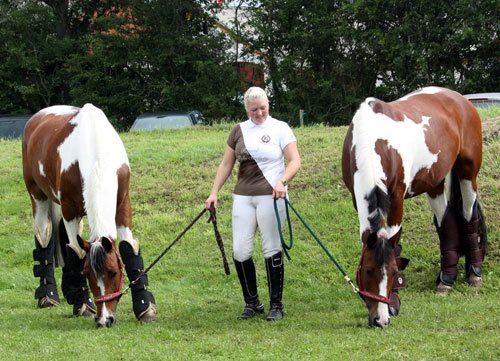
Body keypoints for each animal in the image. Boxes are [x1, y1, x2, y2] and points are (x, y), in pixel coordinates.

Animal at [22, 104, 156, 326]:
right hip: (38, 196)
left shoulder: (122, 204)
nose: (105, 320)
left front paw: (145, 307)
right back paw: (48, 294)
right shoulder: (70, 211)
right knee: (44, 237)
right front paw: (83, 304)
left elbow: (129, 248)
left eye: (113, 272)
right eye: (87, 273)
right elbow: (76, 253)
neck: (95, 150)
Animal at [342, 86, 486, 326]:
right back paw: (446, 279)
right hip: (435, 182)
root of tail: (460, 100)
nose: (380, 320)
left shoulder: (397, 199)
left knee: (468, 215)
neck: (373, 140)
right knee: (445, 222)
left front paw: (394, 301)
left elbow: (395, 244)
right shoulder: (356, 197)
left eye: (393, 272)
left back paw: (474, 274)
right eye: (368, 270)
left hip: (468, 172)